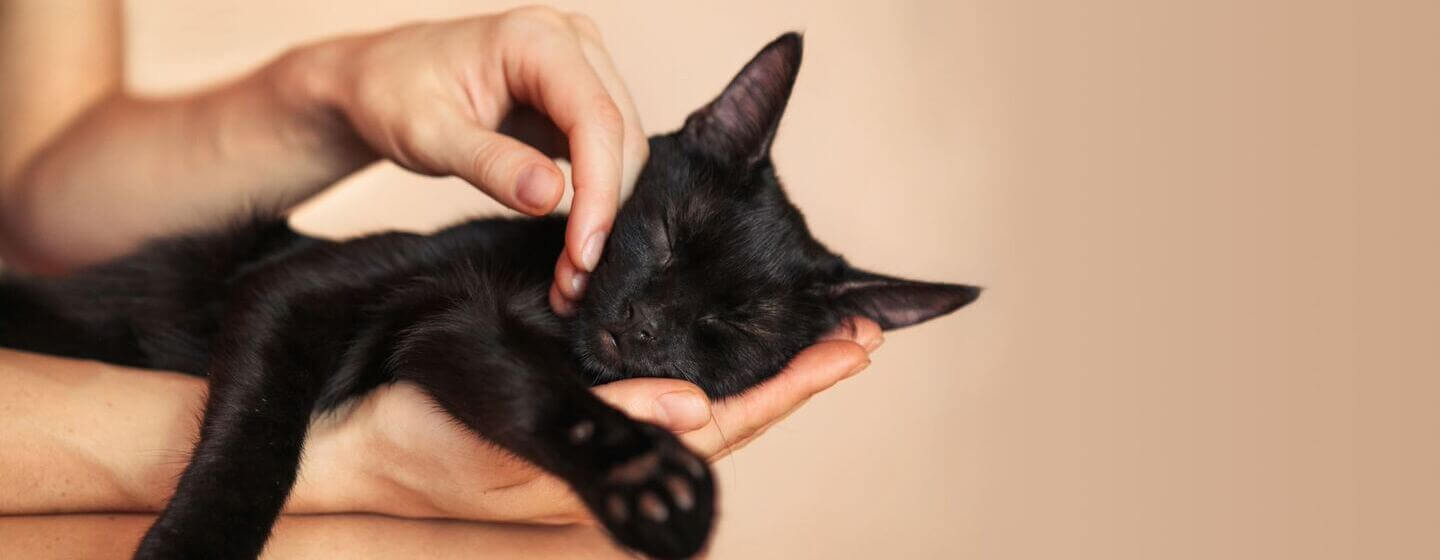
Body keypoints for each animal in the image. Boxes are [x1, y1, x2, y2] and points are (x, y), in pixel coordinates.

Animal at [0, 32, 979, 555]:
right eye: (668, 235)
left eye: (731, 325)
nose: (642, 324)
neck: (543, 308)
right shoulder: (299, 287)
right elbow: (260, 433)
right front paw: (196, 544)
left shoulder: (454, 333)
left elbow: (533, 393)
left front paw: (646, 484)